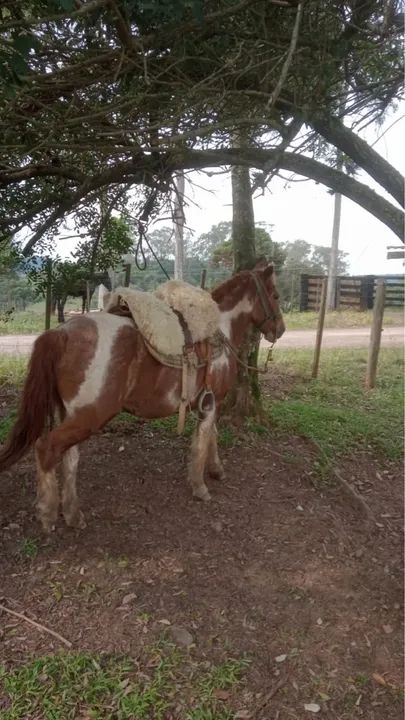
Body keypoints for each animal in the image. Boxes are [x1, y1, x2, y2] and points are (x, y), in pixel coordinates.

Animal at [0, 264, 285, 533]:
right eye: (275, 295)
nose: (280, 329)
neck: (219, 328)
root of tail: (62, 332)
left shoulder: (208, 404)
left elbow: (211, 435)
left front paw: (216, 470)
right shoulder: (212, 402)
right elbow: (203, 442)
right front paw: (200, 486)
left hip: (70, 414)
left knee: (70, 457)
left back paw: (72, 514)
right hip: (89, 416)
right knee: (46, 448)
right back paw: (48, 514)